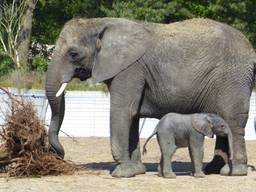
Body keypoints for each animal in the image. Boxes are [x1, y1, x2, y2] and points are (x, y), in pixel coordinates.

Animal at [45, 17, 256, 178]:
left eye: (73, 53)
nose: (60, 155)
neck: (99, 23)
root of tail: (251, 49)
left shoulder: (129, 69)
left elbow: (123, 112)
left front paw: (122, 173)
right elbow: (132, 115)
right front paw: (137, 171)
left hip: (233, 78)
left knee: (233, 120)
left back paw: (233, 172)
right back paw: (213, 170)